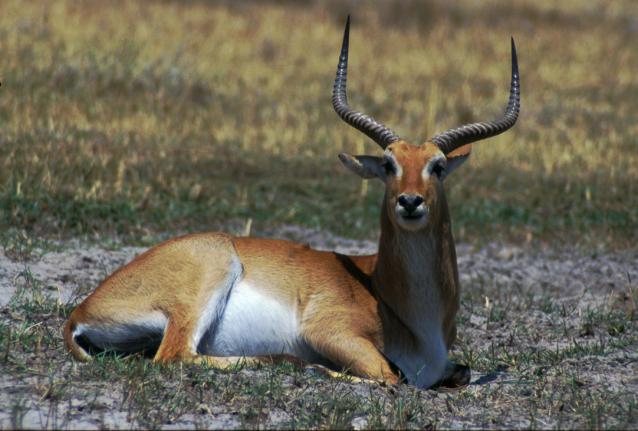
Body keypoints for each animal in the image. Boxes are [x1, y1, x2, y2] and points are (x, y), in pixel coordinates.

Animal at [64, 16, 520, 389]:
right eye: (389, 164)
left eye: (437, 166)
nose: (410, 201)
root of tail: (80, 312)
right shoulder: (331, 333)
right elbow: (390, 375)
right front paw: (321, 368)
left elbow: (456, 373)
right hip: (210, 276)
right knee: (175, 355)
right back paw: (284, 361)